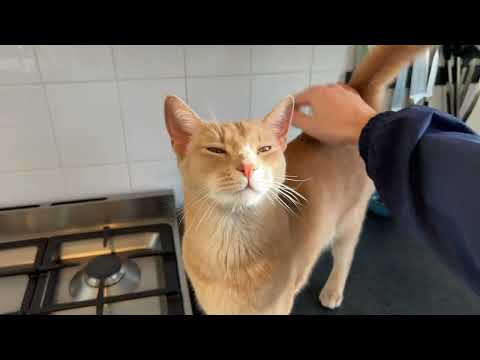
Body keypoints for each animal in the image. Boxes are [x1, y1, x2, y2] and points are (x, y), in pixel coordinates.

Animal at [166, 45, 432, 316]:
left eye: (264, 149)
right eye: (215, 150)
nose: (248, 167)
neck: (233, 248)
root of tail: (354, 89)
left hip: (350, 220)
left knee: (345, 256)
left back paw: (333, 290)